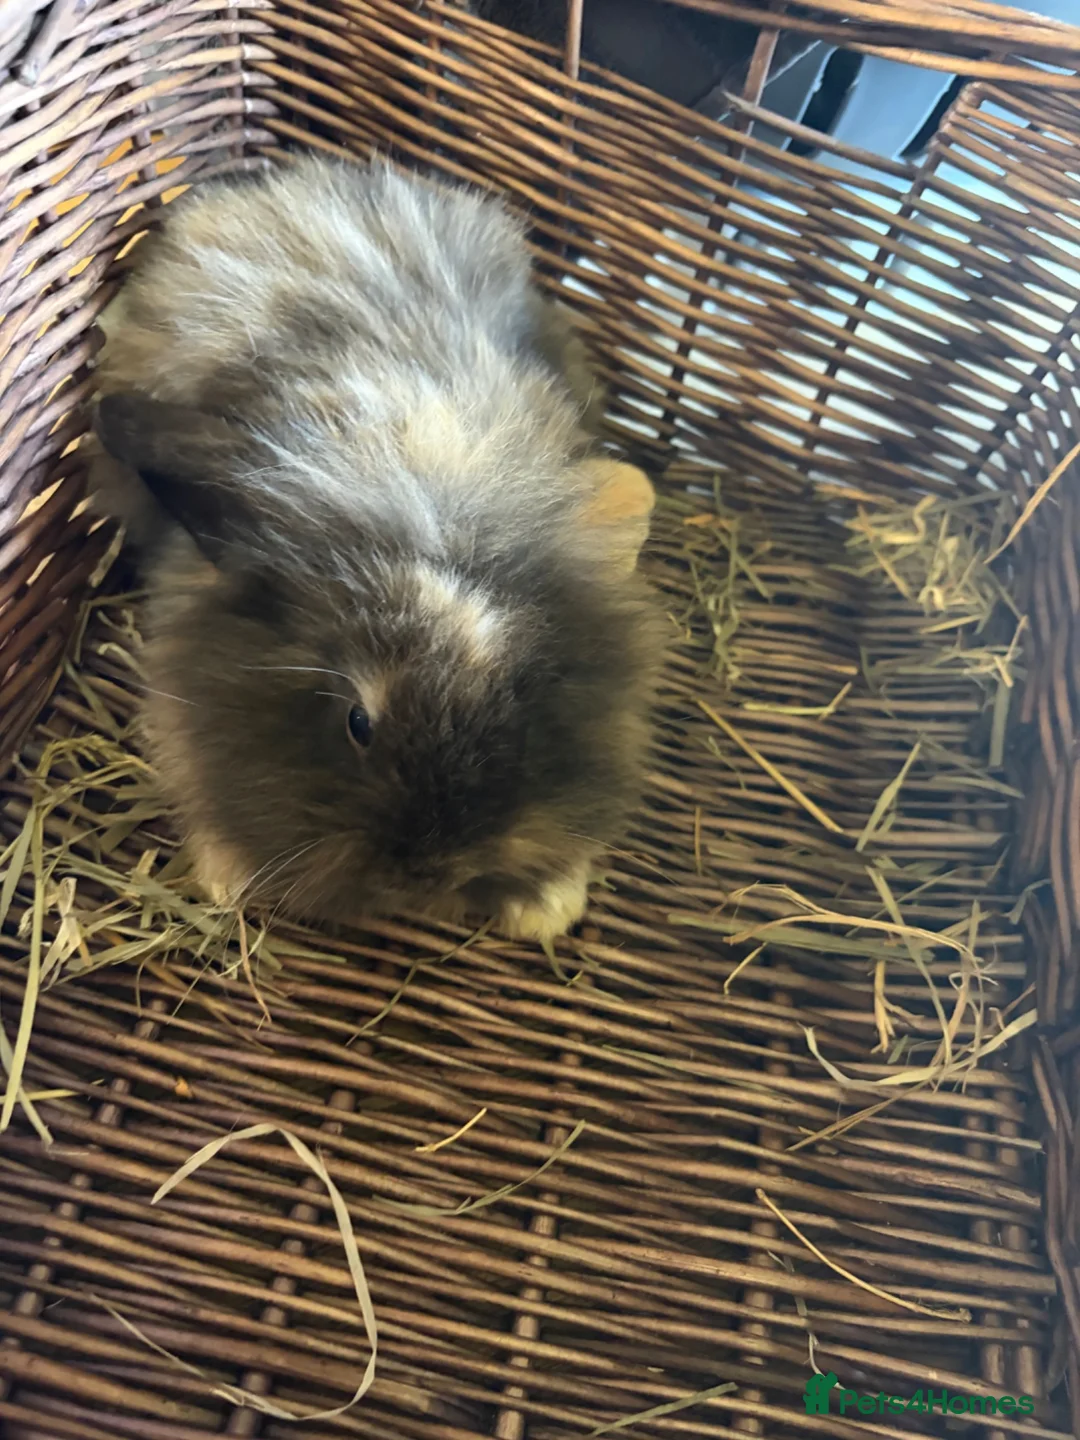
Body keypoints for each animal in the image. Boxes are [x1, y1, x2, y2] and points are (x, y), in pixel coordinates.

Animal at [90, 156, 663, 945]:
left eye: (522, 702)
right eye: (358, 723)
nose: (428, 872)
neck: (421, 476)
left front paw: (546, 909)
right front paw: (226, 874)